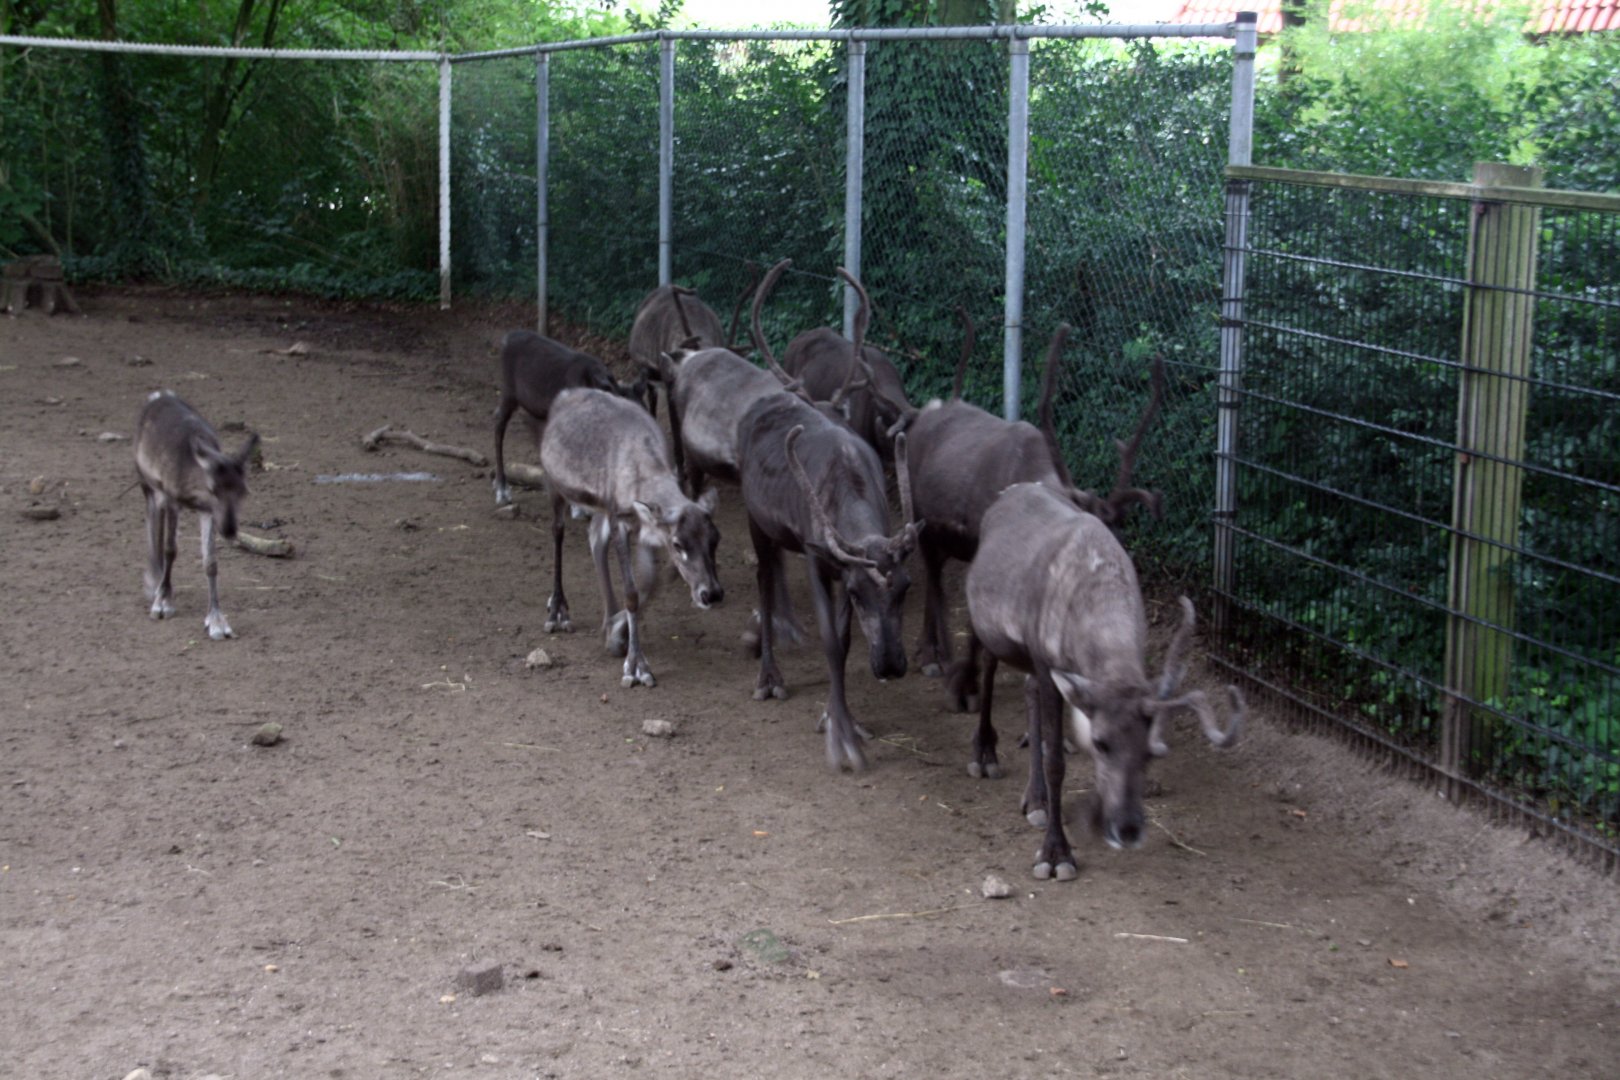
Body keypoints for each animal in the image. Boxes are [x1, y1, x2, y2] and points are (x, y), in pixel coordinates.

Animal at [133, 390, 260, 641]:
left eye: (243, 491)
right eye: (212, 489)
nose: (229, 529)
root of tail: (158, 395)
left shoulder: (206, 512)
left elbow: (210, 562)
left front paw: (217, 621)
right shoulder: (172, 498)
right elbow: (170, 549)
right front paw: (162, 602)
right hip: (146, 481)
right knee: (151, 520)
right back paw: (154, 580)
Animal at [537, 387, 723, 689]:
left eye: (716, 539)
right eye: (678, 544)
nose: (712, 593)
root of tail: (566, 393)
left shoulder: (644, 527)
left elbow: (651, 581)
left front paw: (617, 632)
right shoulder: (620, 520)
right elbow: (632, 592)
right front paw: (636, 667)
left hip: (599, 506)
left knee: (595, 539)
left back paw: (607, 619)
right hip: (555, 484)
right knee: (558, 531)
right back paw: (558, 611)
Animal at [735, 263, 922, 771]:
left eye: (905, 587)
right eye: (859, 594)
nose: (891, 665)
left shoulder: (846, 562)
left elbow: (845, 640)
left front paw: (845, 720)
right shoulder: (823, 560)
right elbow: (831, 642)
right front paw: (842, 737)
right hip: (755, 520)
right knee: (763, 578)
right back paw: (768, 676)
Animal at [903, 323, 1165, 779]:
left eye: (1113, 530)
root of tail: (924, 412)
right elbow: (977, 633)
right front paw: (966, 692)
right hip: (924, 519)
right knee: (934, 578)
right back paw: (936, 656)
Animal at [967, 481, 1244, 880]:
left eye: (1152, 751)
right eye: (1102, 743)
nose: (1128, 829)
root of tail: (1011, 491)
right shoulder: (1046, 661)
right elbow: (1057, 763)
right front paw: (1056, 854)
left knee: (1028, 689)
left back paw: (1035, 799)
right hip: (995, 632)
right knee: (989, 665)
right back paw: (984, 754)